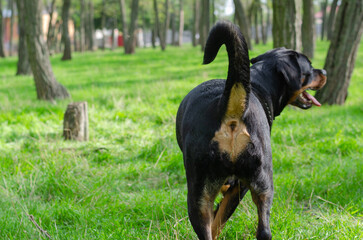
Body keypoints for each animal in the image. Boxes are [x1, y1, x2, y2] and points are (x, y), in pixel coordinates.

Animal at [176, 21, 328, 240]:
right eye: (309, 68)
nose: (324, 71)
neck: (257, 83)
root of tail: (228, 105)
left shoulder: (236, 187)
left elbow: (218, 219)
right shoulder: (239, 187)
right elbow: (218, 220)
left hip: (214, 192)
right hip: (251, 184)